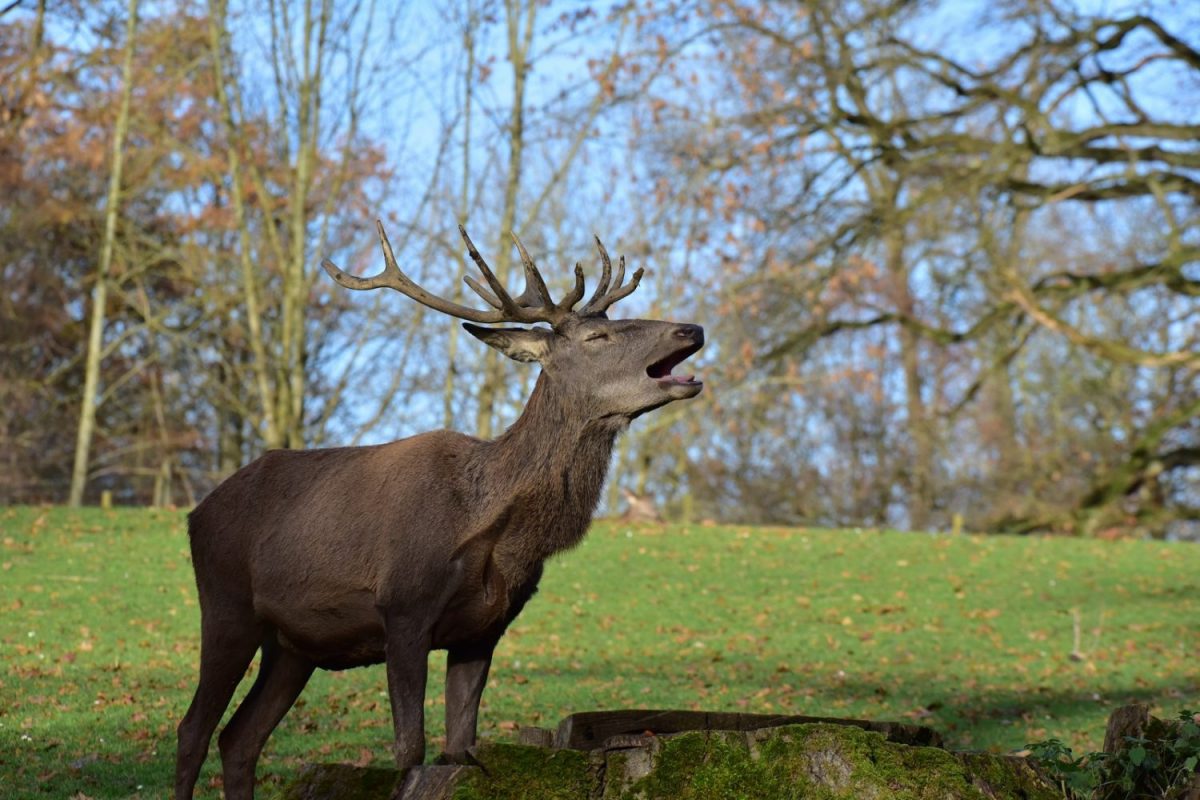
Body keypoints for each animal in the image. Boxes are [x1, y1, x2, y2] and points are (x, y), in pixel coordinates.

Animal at [176, 221, 700, 796]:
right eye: (597, 338)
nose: (691, 329)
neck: (492, 529)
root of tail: (195, 514)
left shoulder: (483, 630)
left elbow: (460, 750)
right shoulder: (403, 609)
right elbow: (410, 750)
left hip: (293, 647)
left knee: (239, 739)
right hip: (225, 605)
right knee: (193, 730)